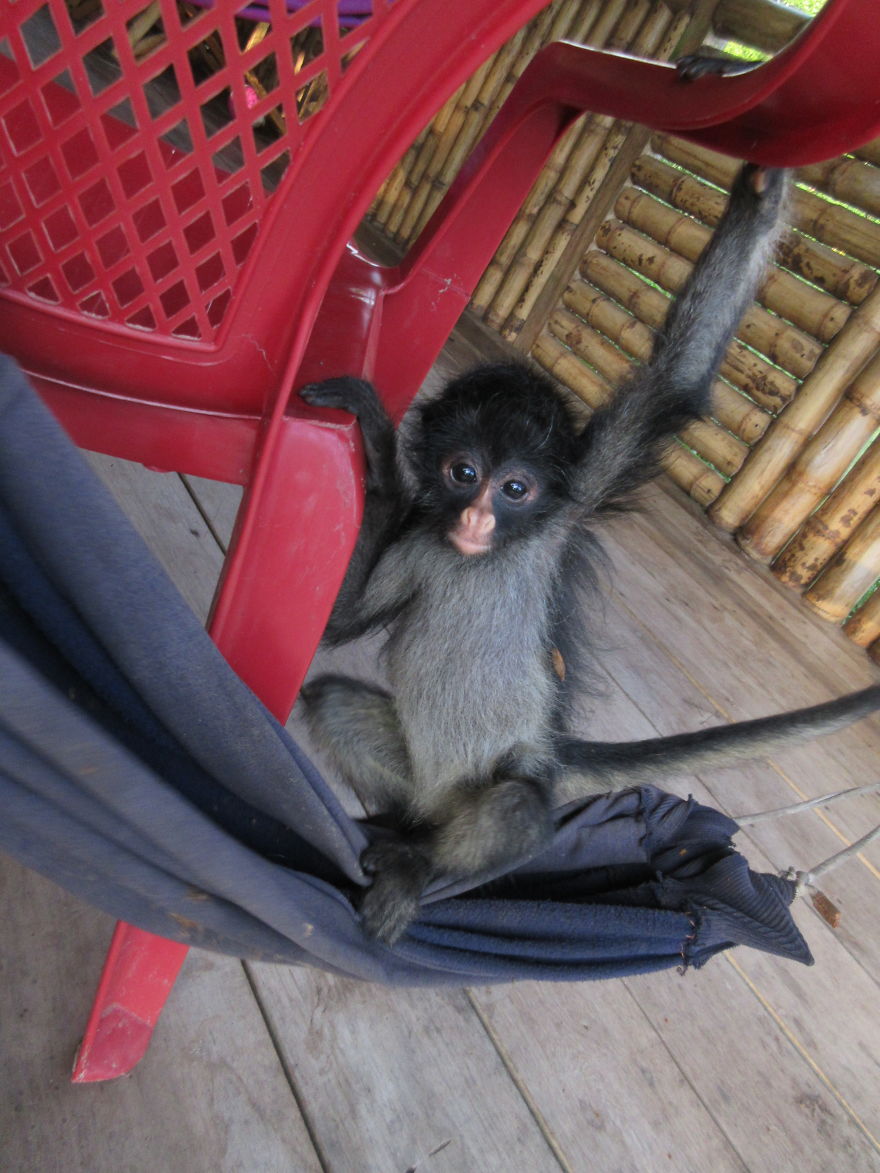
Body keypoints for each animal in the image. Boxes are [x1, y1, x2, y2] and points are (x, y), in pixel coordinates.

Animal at [298, 163, 880, 944]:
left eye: (515, 488)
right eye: (463, 473)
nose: (476, 518)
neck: (483, 555)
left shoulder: (570, 503)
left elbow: (674, 383)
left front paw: (761, 197)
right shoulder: (426, 537)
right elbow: (339, 624)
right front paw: (377, 444)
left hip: (507, 780)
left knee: (517, 809)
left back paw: (419, 868)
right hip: (418, 776)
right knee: (334, 703)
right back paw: (401, 832)